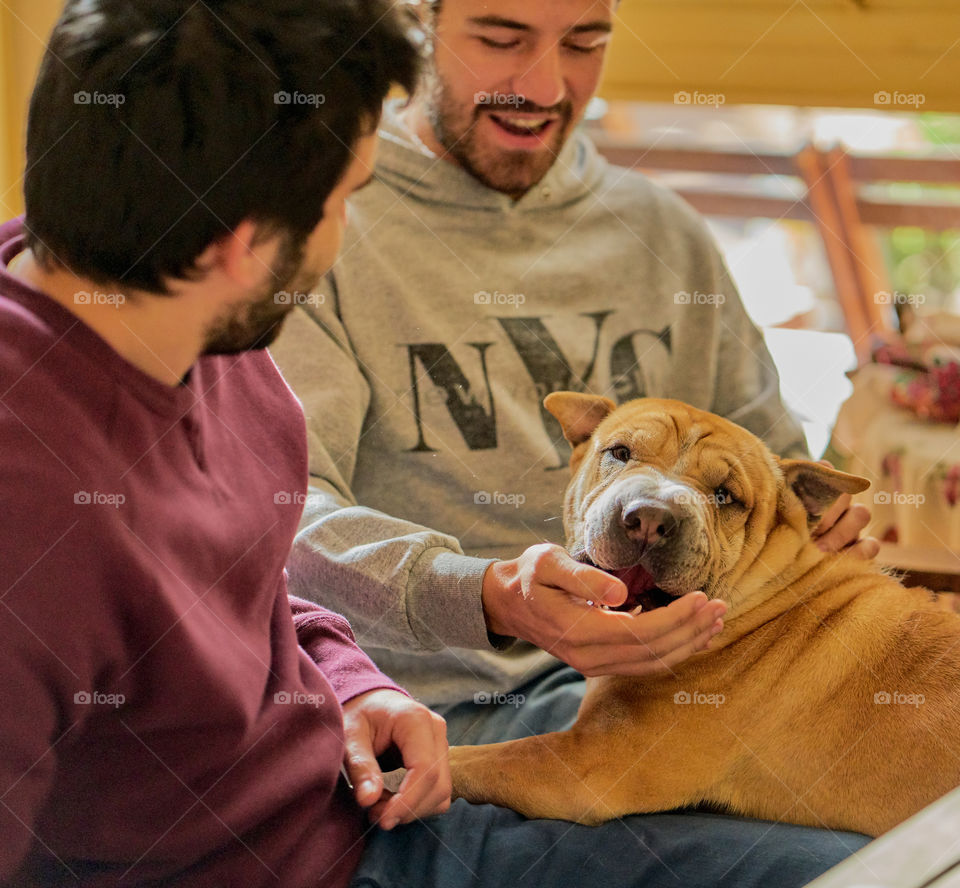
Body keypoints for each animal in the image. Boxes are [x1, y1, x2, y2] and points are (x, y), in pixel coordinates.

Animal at [448, 392, 960, 836]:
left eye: (725, 496)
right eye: (620, 453)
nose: (650, 518)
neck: (768, 597)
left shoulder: (582, 765)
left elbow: (471, 758)